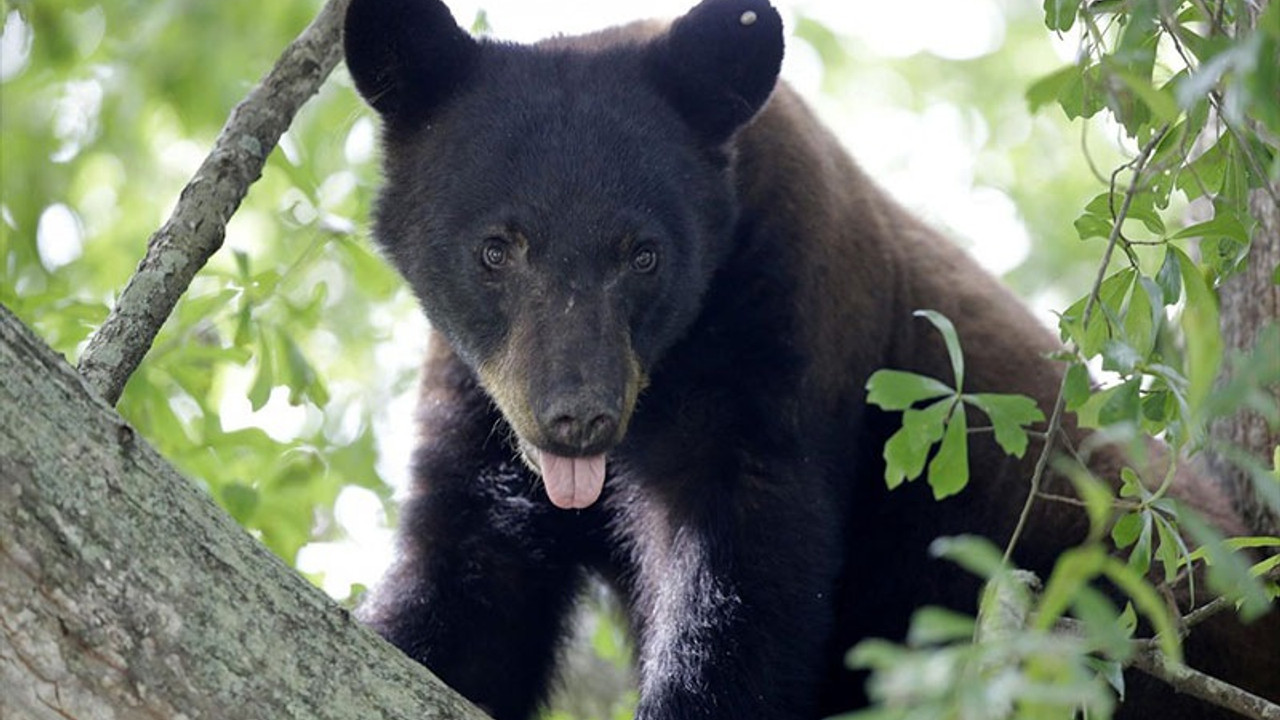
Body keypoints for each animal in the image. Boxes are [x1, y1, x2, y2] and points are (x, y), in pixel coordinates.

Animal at [340, 0, 1280, 712]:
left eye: (643, 254)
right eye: (496, 248)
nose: (577, 417)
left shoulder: (782, 333)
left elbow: (745, 578)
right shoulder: (480, 403)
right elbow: (466, 582)